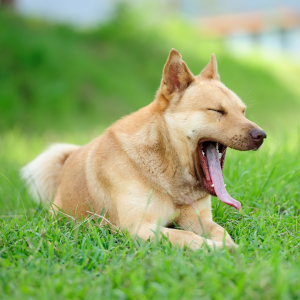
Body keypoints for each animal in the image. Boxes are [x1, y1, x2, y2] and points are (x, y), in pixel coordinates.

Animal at [22, 49, 266, 251]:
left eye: (243, 111)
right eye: (217, 110)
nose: (261, 135)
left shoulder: (198, 218)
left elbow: (219, 230)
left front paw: (228, 244)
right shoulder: (138, 227)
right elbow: (186, 237)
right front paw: (219, 249)